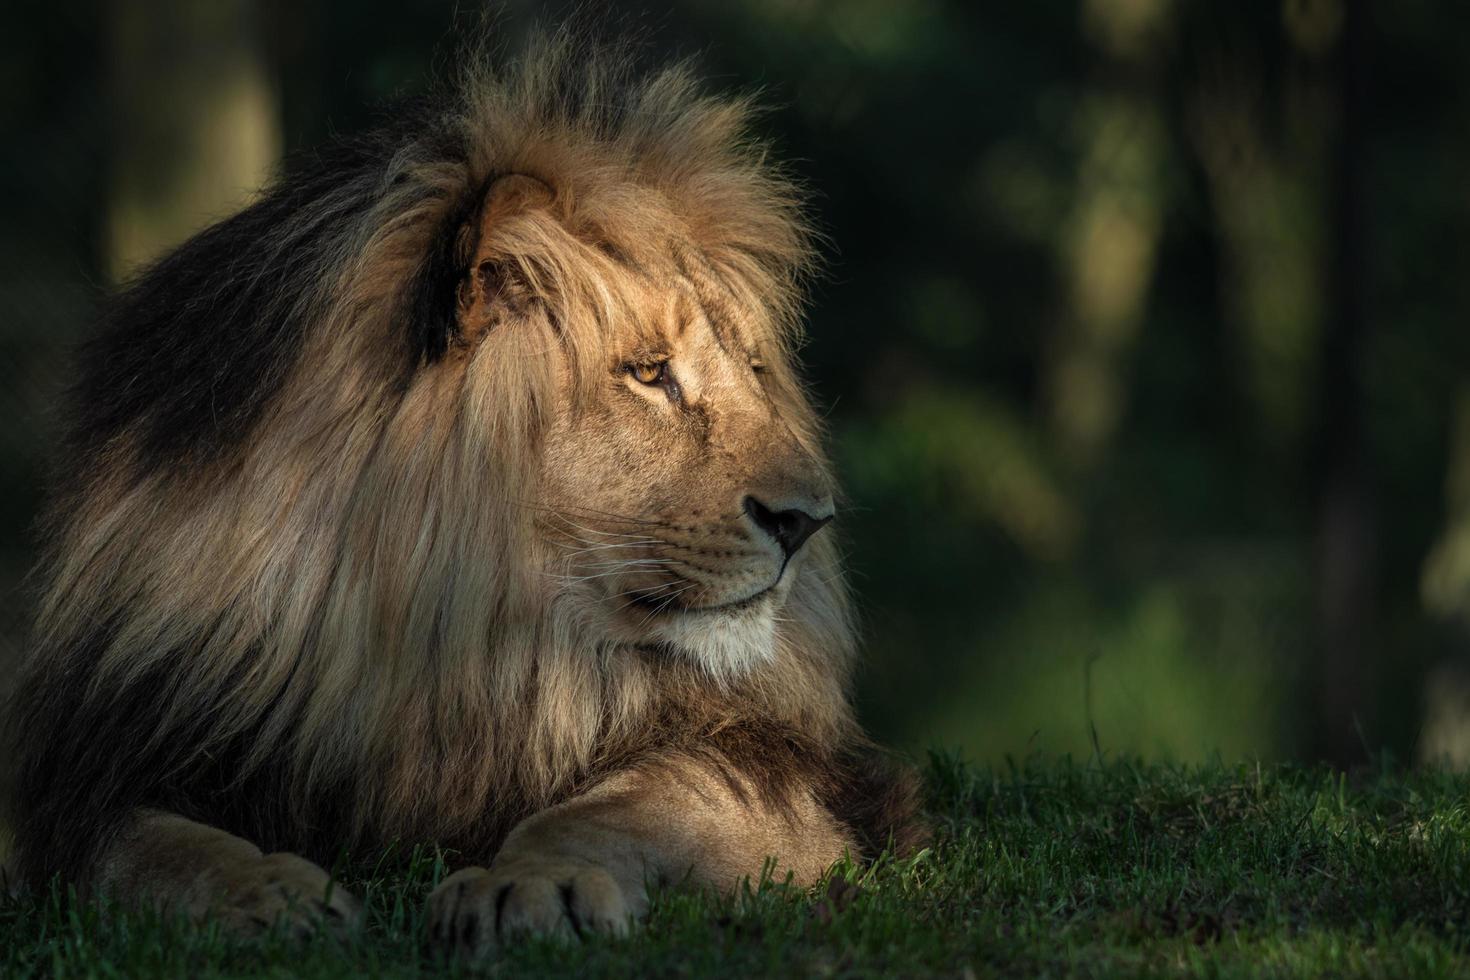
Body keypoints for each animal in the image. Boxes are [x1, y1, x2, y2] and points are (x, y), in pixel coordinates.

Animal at [2, 32, 917, 952]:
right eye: (649, 374)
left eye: (755, 370)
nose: (807, 521)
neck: (462, 645)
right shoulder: (108, 769)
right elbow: (146, 851)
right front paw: (265, 896)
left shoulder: (790, 773)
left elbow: (628, 806)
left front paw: (531, 884)